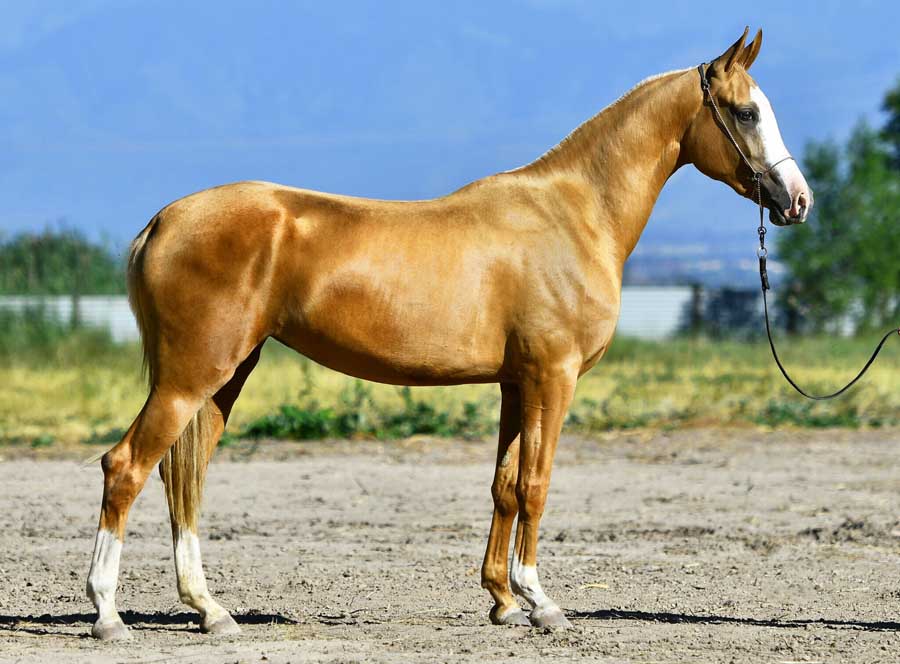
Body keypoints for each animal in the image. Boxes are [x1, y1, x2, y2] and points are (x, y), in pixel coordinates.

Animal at [86, 28, 816, 640]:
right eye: (746, 113)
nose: (797, 200)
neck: (574, 214)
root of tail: (163, 220)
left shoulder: (517, 384)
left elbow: (504, 485)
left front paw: (502, 600)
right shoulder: (553, 377)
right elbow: (536, 484)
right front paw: (541, 603)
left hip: (223, 378)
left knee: (183, 477)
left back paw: (211, 611)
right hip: (191, 376)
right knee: (127, 467)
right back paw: (107, 615)